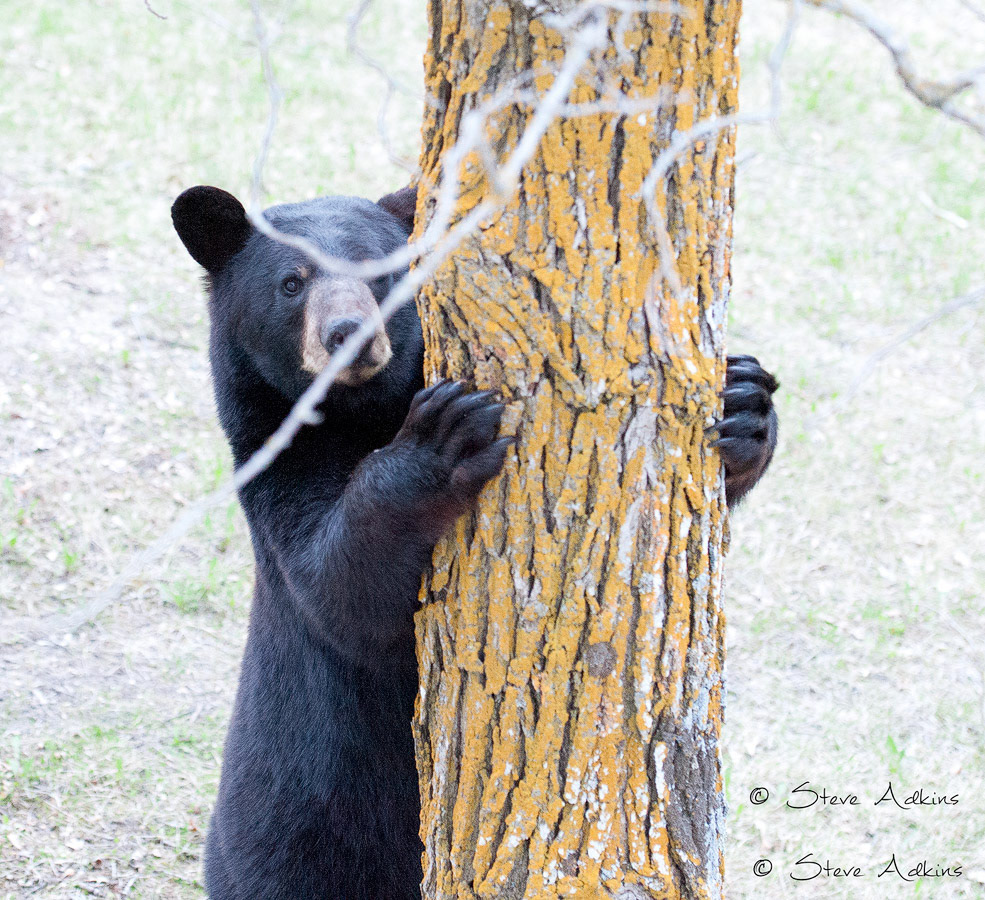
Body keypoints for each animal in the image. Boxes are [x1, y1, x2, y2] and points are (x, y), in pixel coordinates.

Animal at [170, 184, 778, 900]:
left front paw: (745, 404)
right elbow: (342, 590)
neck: (361, 413)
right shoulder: (275, 468)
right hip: (297, 839)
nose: (348, 334)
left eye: (382, 272)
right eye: (292, 283)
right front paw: (440, 442)